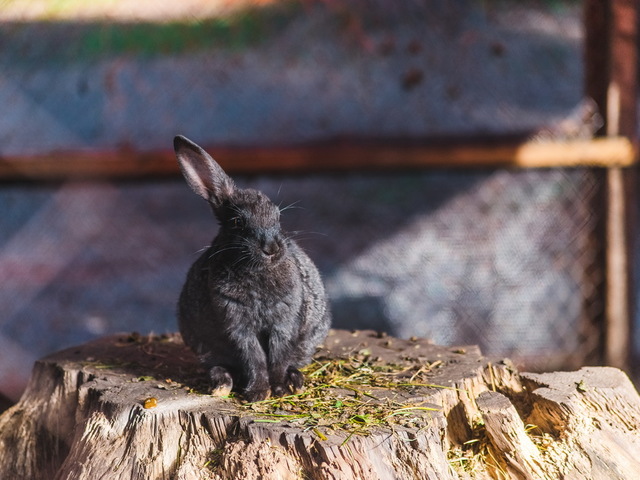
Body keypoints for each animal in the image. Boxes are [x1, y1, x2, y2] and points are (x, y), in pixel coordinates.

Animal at [175, 135, 332, 402]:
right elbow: (254, 357)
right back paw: (221, 385)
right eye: (237, 222)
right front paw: (258, 392)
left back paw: (295, 381)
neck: (256, 270)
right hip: (204, 346)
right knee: (220, 366)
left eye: (278, 217)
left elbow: (278, 356)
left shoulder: (283, 322)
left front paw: (278, 388)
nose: (271, 248)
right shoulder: (238, 324)